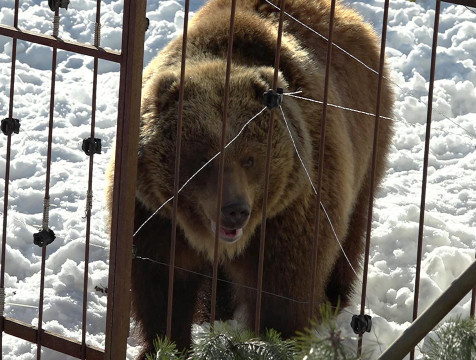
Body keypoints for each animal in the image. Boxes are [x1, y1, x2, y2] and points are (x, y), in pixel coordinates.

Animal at [106, 0, 392, 358]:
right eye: (202, 158)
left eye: (251, 158)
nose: (235, 209)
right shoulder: (154, 214)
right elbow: (160, 283)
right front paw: (165, 344)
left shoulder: (291, 210)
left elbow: (282, 290)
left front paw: (272, 340)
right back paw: (213, 310)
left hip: (369, 145)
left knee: (352, 229)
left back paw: (333, 297)